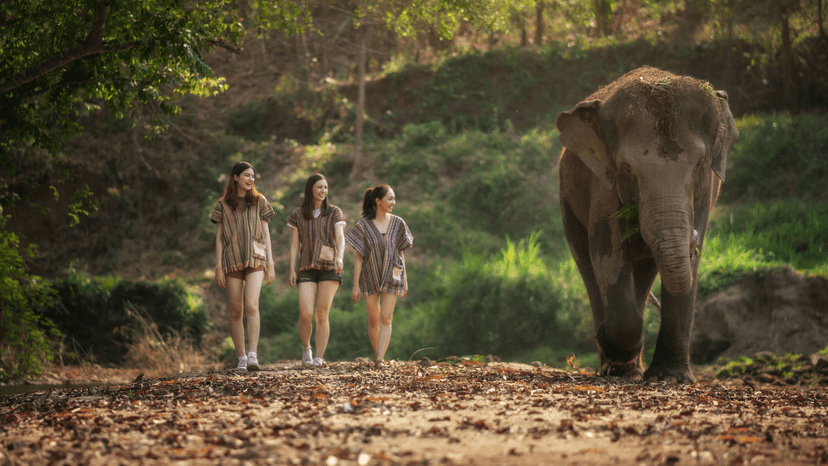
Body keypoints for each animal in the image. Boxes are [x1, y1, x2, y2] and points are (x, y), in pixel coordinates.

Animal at [556, 66, 739, 383]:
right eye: (626, 169)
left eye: (700, 164)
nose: (692, 238)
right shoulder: (604, 184)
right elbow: (606, 249)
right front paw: (612, 347)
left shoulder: (708, 191)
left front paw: (670, 378)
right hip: (567, 199)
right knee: (587, 263)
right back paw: (615, 363)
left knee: (644, 271)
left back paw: (632, 368)